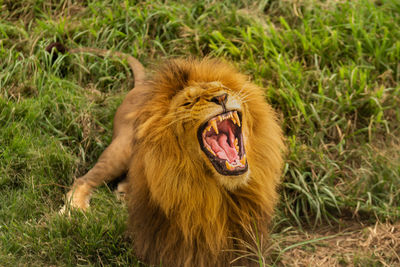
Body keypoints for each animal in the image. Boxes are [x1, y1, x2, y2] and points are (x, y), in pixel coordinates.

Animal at [51, 43, 284, 266]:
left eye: (224, 88)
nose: (221, 97)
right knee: (84, 179)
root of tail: (141, 85)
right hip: (121, 149)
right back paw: (74, 209)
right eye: (189, 102)